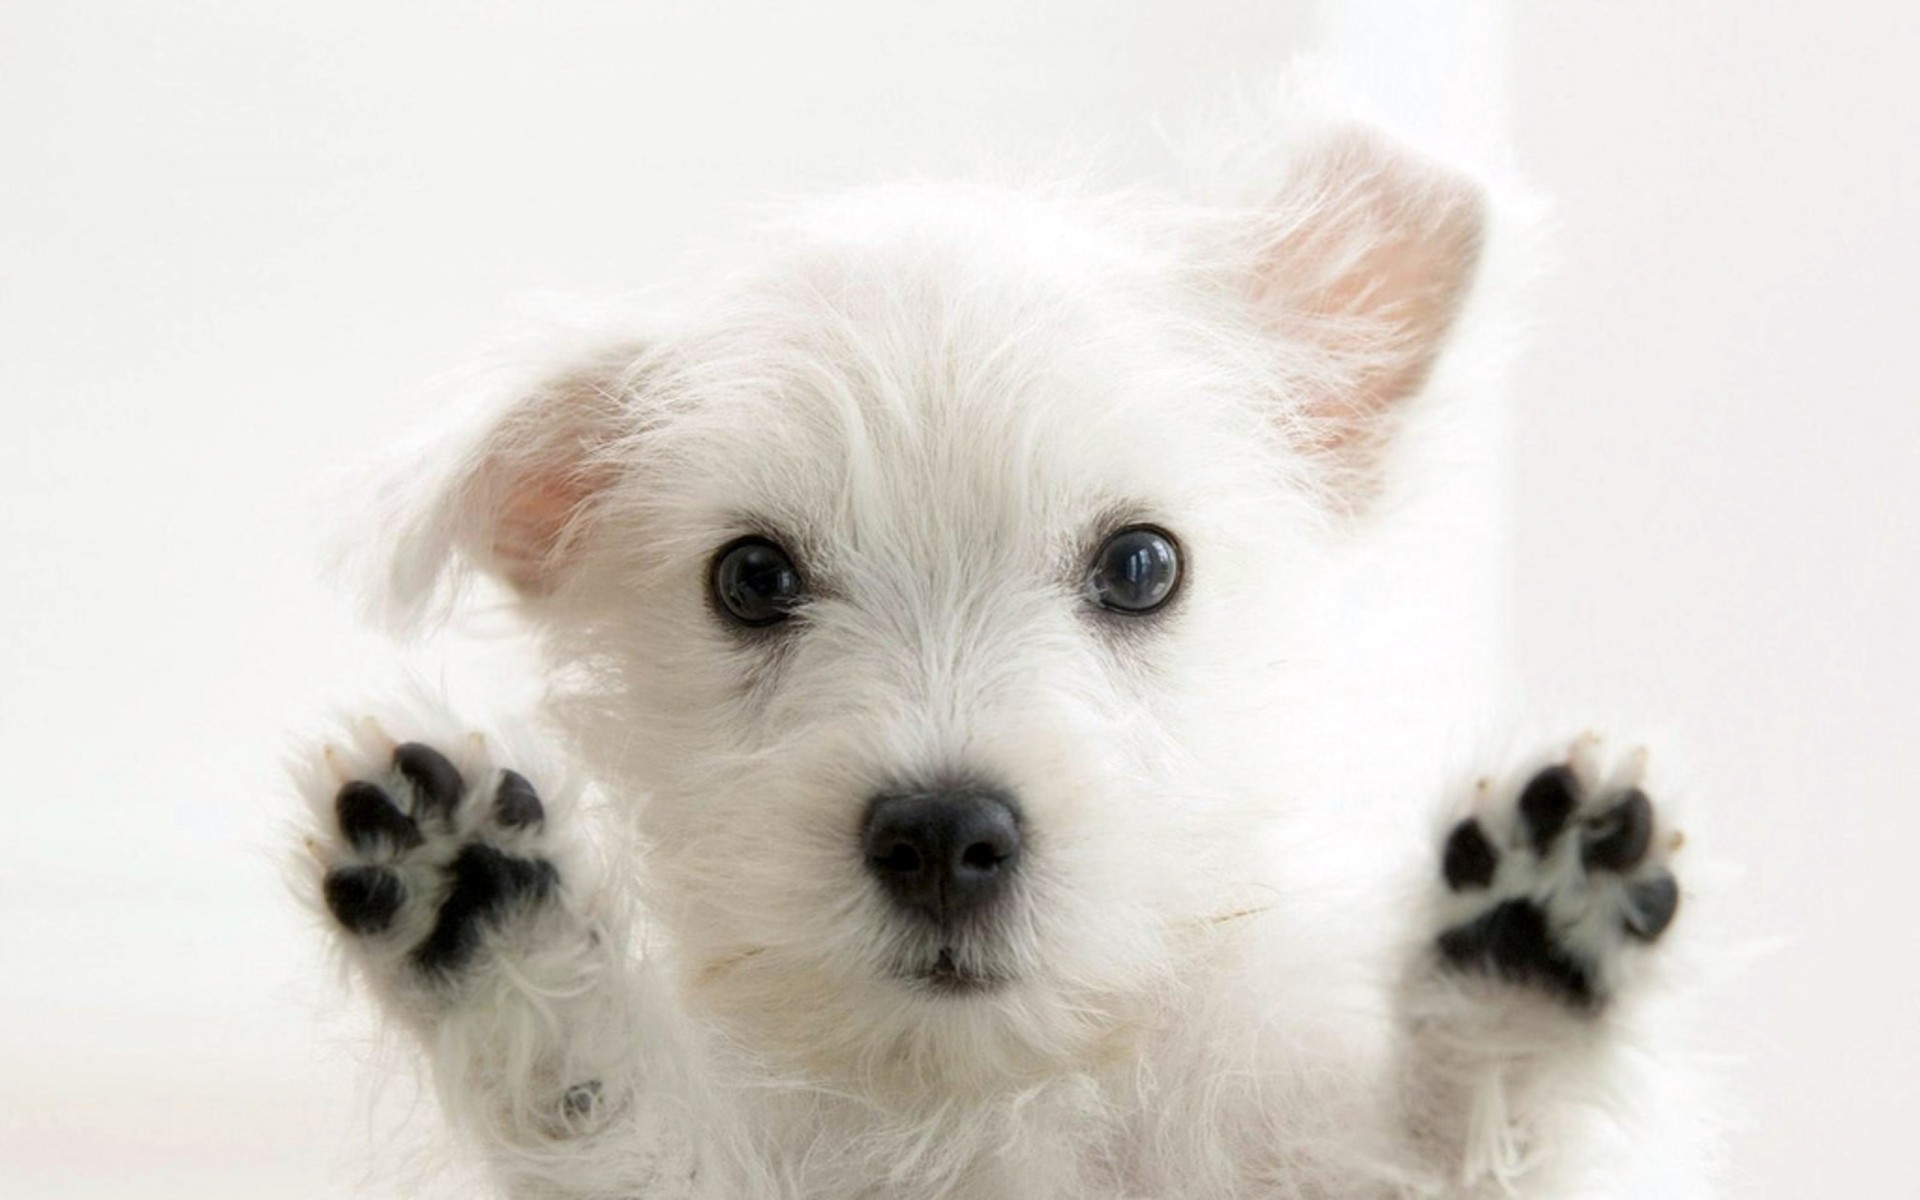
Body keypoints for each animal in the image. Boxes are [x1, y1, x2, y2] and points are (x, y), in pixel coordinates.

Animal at [295, 117, 1712, 1190]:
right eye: (752, 579)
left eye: (1141, 566)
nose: (941, 837)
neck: (983, 1100)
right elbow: (609, 1119)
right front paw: (494, 922)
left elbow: (1445, 1152)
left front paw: (1516, 976)